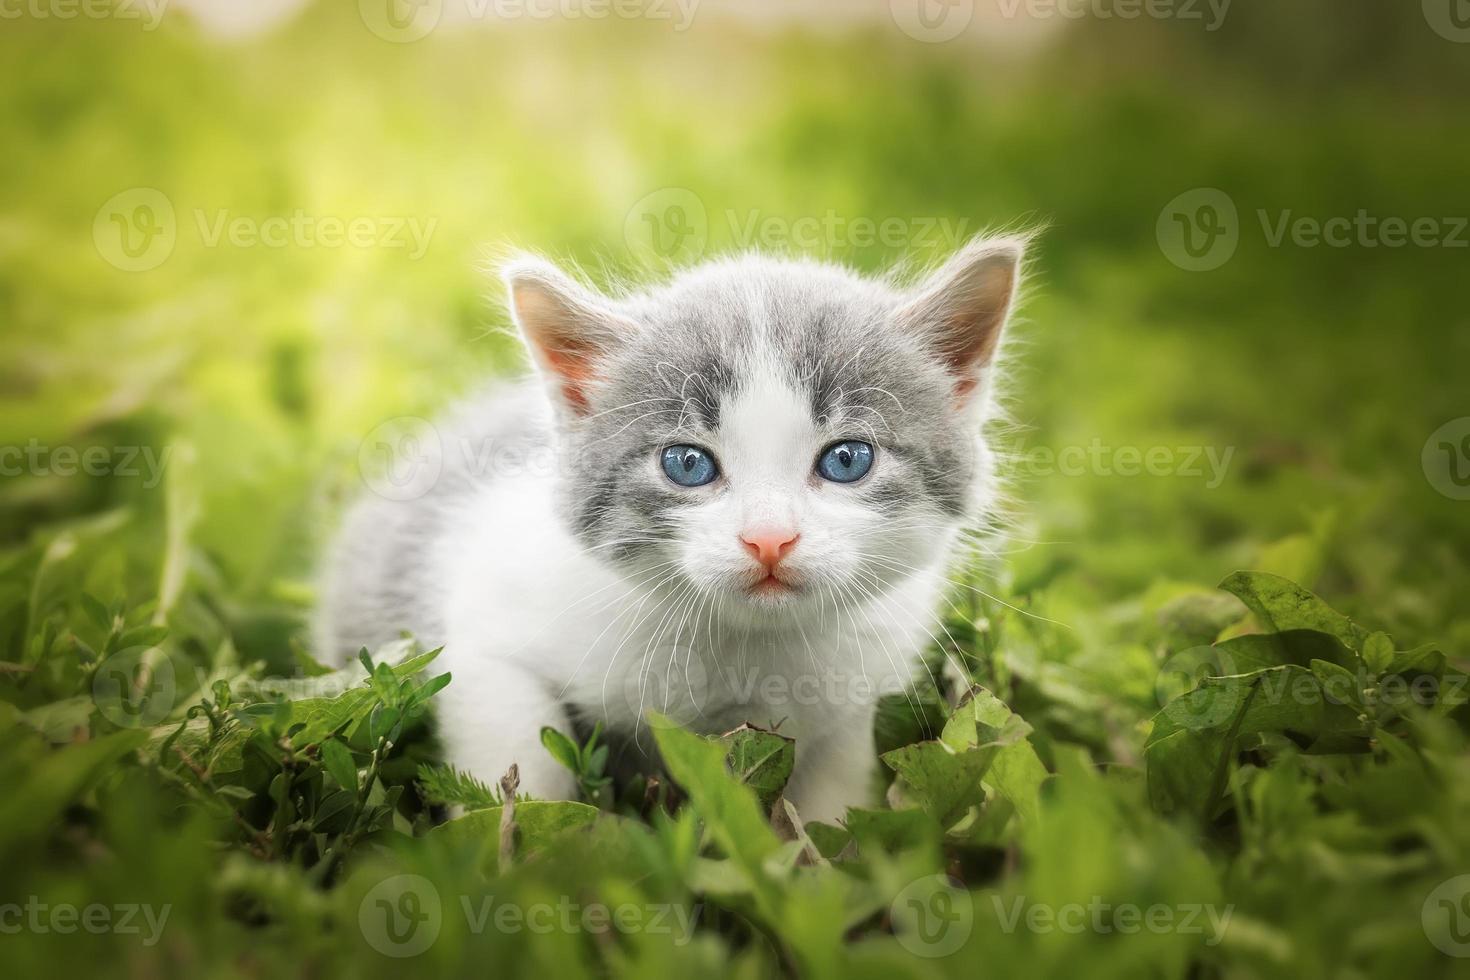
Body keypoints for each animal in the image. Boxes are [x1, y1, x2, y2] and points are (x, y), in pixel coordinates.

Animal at [313, 238, 1023, 828]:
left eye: (848, 459)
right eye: (687, 464)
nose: (769, 539)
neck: (743, 649)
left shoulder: (855, 689)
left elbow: (831, 792)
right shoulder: (486, 632)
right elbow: (515, 747)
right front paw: (516, 850)